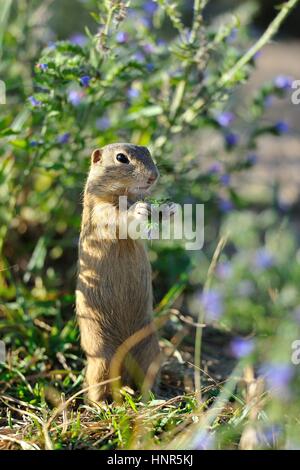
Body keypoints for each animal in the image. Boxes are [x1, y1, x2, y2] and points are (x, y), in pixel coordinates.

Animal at [75, 142, 164, 400]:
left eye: (148, 151)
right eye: (121, 158)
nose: (153, 176)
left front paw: (166, 210)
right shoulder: (102, 210)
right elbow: (119, 217)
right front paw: (141, 210)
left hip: (150, 349)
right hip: (101, 354)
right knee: (96, 385)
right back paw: (102, 403)